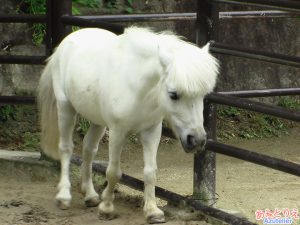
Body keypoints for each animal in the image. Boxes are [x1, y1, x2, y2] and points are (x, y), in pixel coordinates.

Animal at [38, 26, 219, 223]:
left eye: (203, 95)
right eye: (173, 94)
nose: (197, 140)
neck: (137, 86)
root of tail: (69, 40)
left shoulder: (152, 131)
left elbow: (150, 172)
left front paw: (152, 211)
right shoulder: (118, 131)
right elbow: (113, 172)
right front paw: (107, 208)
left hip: (97, 121)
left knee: (88, 149)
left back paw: (90, 195)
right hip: (66, 109)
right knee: (66, 148)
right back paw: (64, 196)